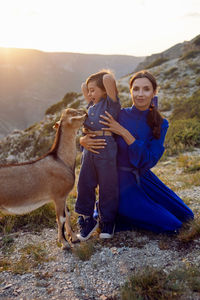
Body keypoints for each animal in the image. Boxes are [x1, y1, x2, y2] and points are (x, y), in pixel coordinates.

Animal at [0, 108, 86, 248]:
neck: (61, 160)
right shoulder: (58, 196)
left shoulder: (63, 196)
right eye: (73, 115)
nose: (86, 114)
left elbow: (67, 214)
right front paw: (64, 243)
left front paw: (73, 238)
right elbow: (61, 218)